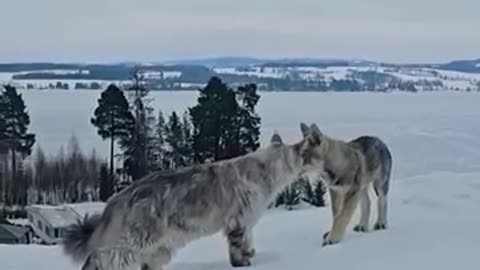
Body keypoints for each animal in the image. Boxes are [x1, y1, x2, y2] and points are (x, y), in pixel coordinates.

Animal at [62, 129, 320, 270]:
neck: (267, 169)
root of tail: (118, 198)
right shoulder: (238, 218)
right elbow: (237, 246)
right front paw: (242, 262)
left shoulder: (247, 221)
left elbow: (248, 242)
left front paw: (250, 255)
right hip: (132, 241)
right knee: (100, 259)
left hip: (160, 247)